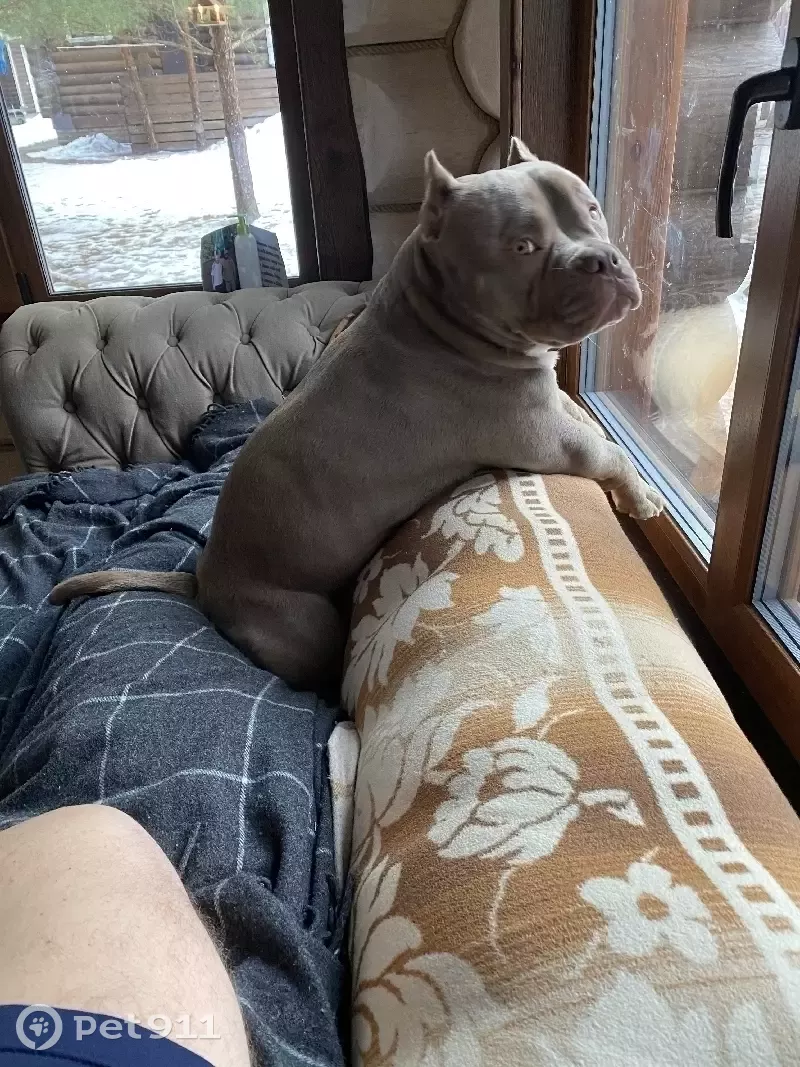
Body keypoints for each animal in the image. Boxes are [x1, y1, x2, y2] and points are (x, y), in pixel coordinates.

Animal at [49, 139, 663, 693]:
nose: (602, 260)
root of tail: (203, 580)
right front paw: (642, 497)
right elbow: (604, 451)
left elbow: (590, 423)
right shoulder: (542, 437)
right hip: (302, 623)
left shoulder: (549, 402)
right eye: (522, 246)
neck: (438, 316)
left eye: (592, 210)